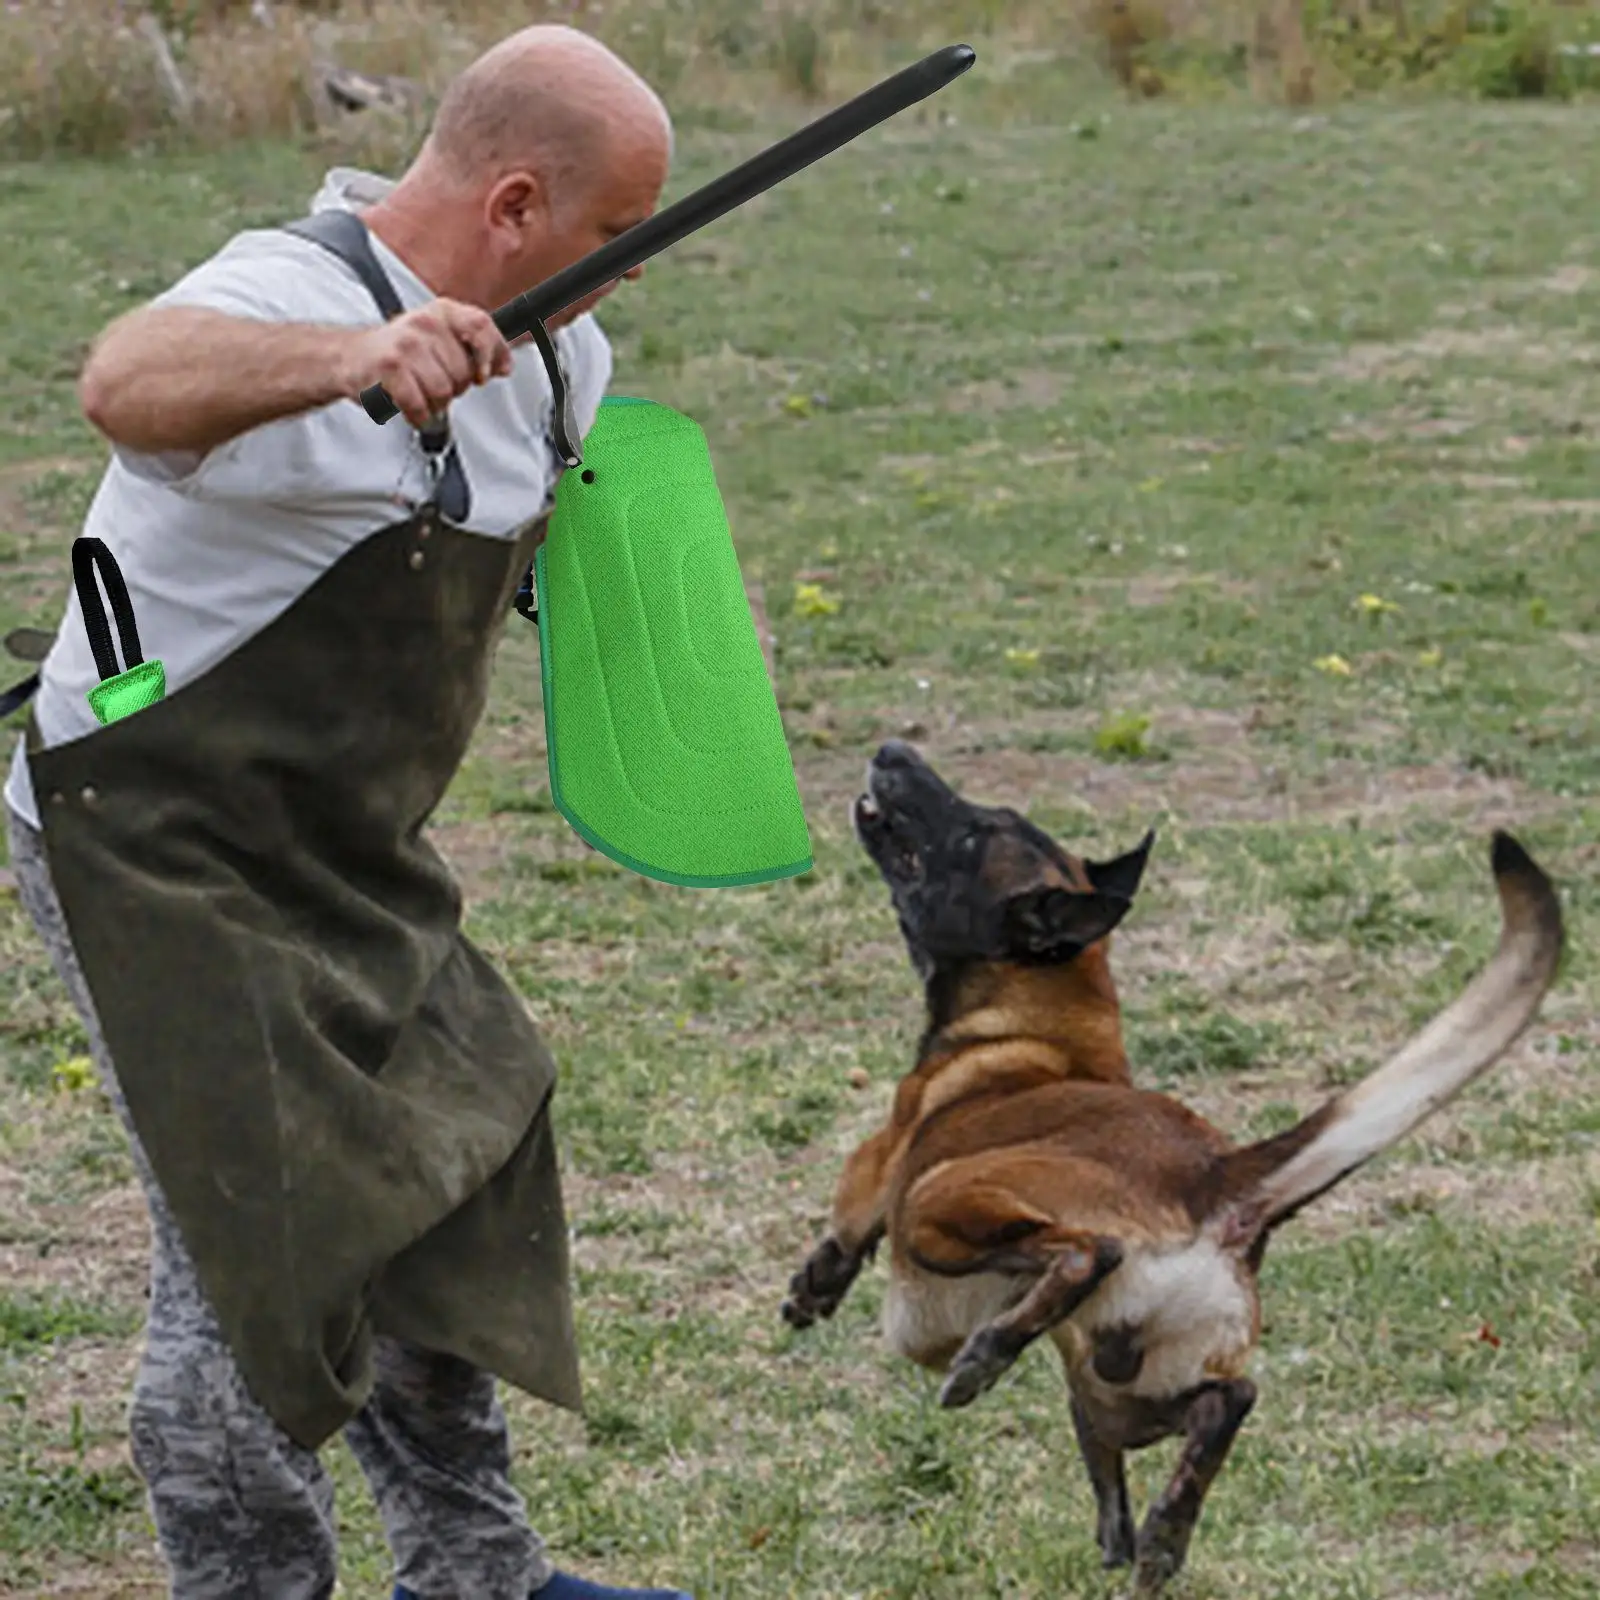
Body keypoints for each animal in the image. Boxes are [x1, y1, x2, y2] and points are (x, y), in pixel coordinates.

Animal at [780, 742, 1568, 1593]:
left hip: (942, 1202)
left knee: (1085, 1255)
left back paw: (986, 1360)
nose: (893, 752)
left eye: (973, 833)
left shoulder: (887, 1153)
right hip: (1123, 1386)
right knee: (1226, 1401)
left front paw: (813, 1289)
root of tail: (1219, 1180)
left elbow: (848, 1214)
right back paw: (1158, 1533)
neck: (1041, 1018)